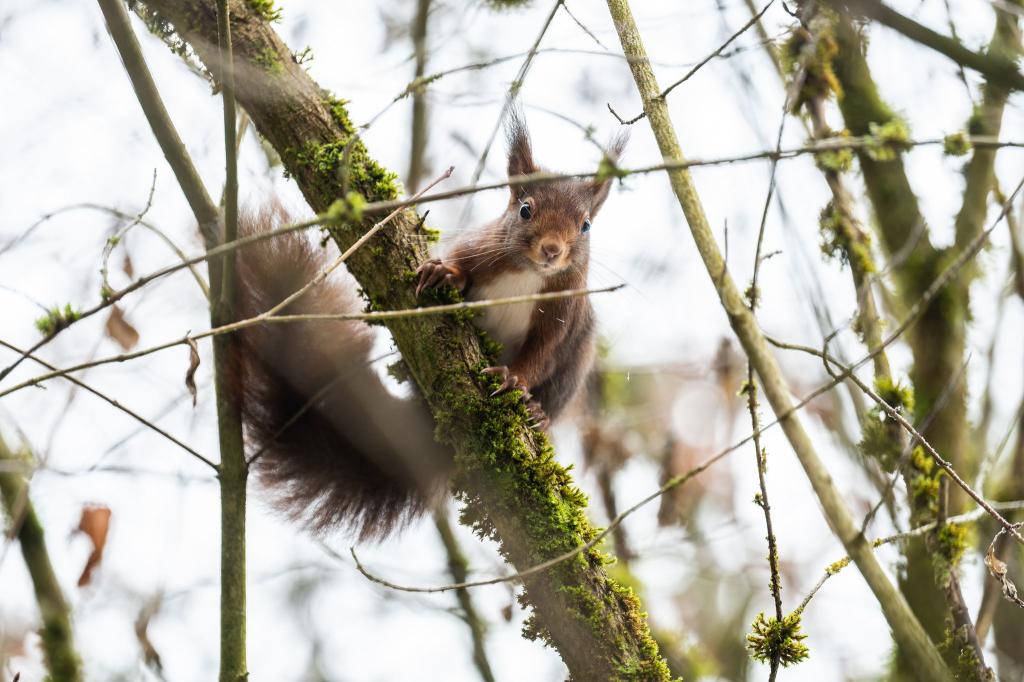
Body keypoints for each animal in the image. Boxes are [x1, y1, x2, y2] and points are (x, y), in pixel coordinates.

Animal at [233, 111, 623, 540]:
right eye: (525, 209)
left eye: (585, 226)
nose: (552, 250)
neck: (529, 274)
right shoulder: (479, 249)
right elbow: (461, 265)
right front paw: (444, 273)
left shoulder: (562, 316)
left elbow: (541, 355)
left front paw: (514, 380)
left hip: (575, 365)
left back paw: (538, 414)